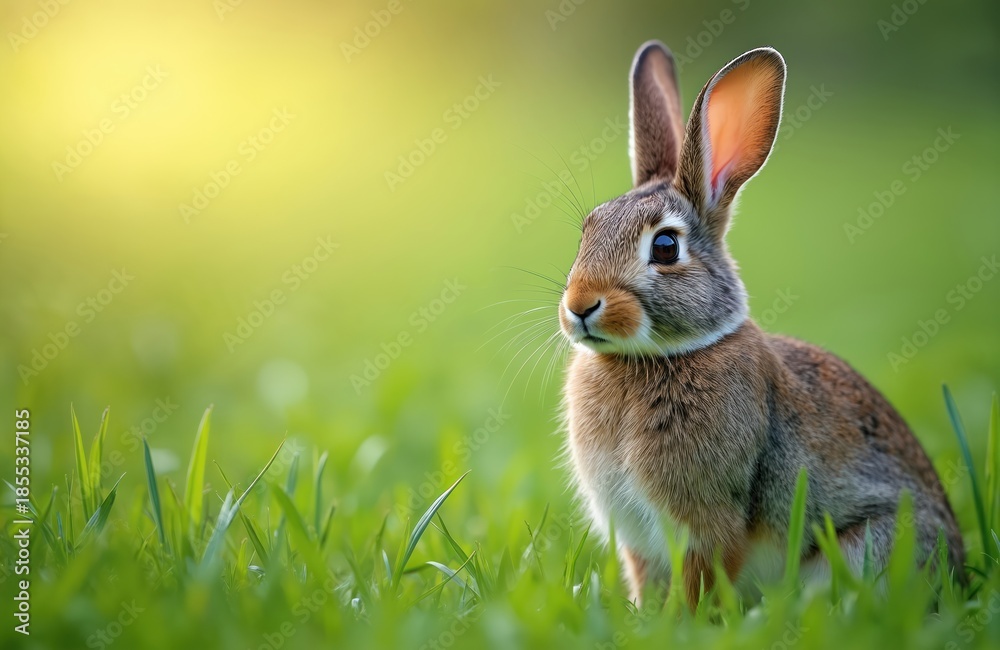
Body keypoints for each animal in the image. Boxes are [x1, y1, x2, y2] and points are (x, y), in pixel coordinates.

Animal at [558, 41, 965, 607]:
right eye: (588, 230)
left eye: (665, 247)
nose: (579, 305)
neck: (657, 357)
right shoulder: (638, 539)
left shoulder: (708, 521)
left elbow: (703, 575)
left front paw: (685, 619)